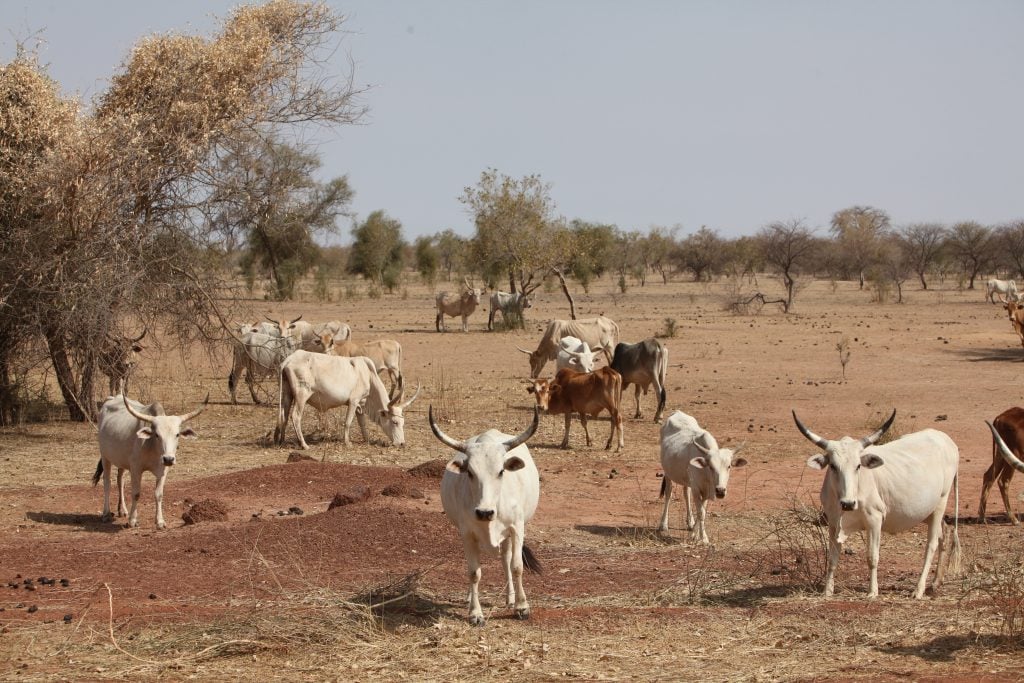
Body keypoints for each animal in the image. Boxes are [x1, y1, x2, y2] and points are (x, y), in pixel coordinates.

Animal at [276, 352, 419, 448]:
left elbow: (362, 424)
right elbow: (348, 422)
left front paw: (366, 440)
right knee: (295, 416)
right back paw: (304, 445)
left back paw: (281, 440)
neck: (368, 375)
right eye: (395, 422)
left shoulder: (360, 405)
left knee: (284, 416)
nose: (402, 443)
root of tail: (288, 360)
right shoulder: (353, 401)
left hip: (287, 394)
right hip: (302, 395)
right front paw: (347, 442)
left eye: (403, 423)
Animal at [428, 403, 544, 626]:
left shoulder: (517, 528)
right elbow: (474, 572)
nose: (484, 512)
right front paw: (475, 613)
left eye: (501, 471)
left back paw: (510, 597)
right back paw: (469, 597)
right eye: (470, 472)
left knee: (506, 559)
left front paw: (522, 607)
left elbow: (516, 566)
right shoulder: (467, 534)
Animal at [655, 411, 745, 544]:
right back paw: (663, 524)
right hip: (668, 473)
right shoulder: (697, 489)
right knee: (668, 494)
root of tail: (677, 412)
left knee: (686, 494)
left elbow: (701, 511)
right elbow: (701, 512)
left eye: (729, 466)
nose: (720, 491)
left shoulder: (706, 491)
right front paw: (704, 538)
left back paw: (690, 522)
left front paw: (694, 534)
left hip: (686, 479)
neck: (706, 475)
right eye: (711, 466)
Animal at [790, 411, 958, 598]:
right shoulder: (833, 523)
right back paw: (935, 583)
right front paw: (827, 591)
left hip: (940, 503)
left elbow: (872, 558)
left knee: (931, 545)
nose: (848, 503)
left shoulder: (874, 521)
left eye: (858, 466)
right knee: (945, 533)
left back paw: (918, 590)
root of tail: (946, 440)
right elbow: (832, 559)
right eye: (833, 466)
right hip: (929, 512)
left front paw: (872, 592)